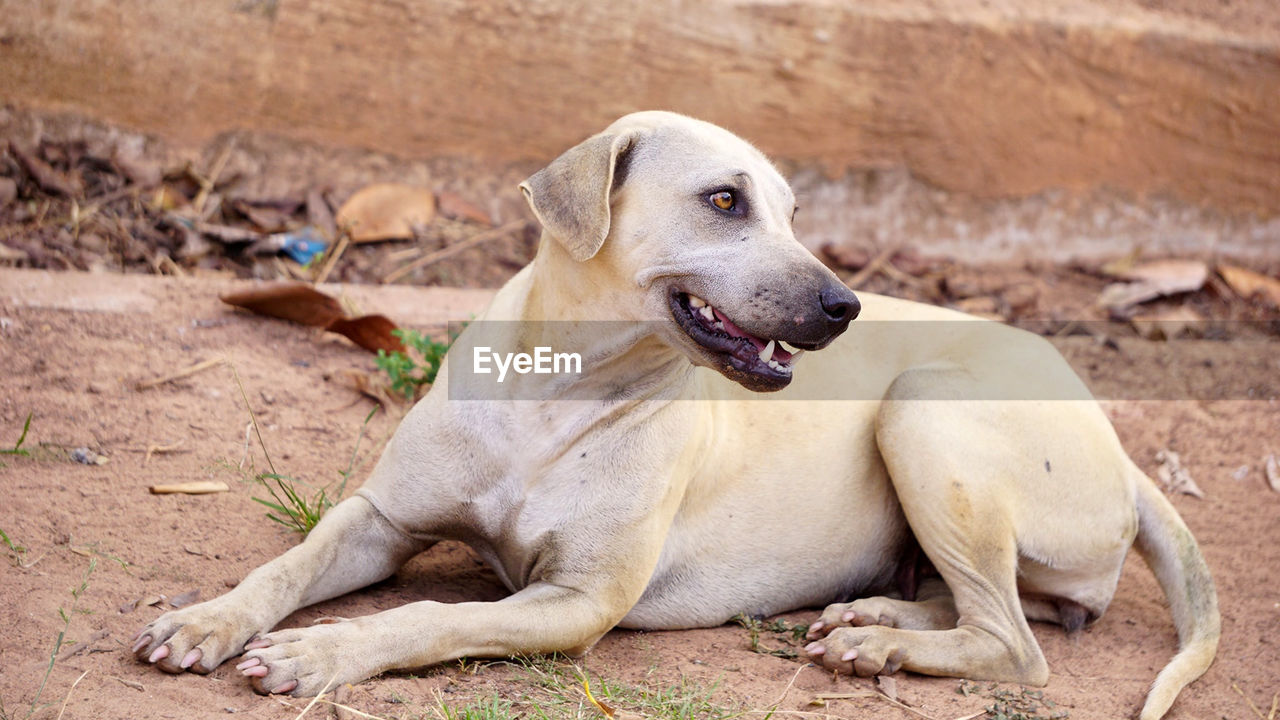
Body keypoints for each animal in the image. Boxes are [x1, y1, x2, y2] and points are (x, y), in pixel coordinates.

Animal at [132, 112, 1218, 717]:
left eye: (791, 212)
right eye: (725, 200)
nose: (843, 305)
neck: (556, 392)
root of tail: (1121, 453)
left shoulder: (574, 602)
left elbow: (431, 615)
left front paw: (323, 651)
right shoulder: (378, 521)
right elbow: (286, 565)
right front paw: (206, 618)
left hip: (926, 409)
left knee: (1017, 645)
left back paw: (883, 644)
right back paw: (875, 613)